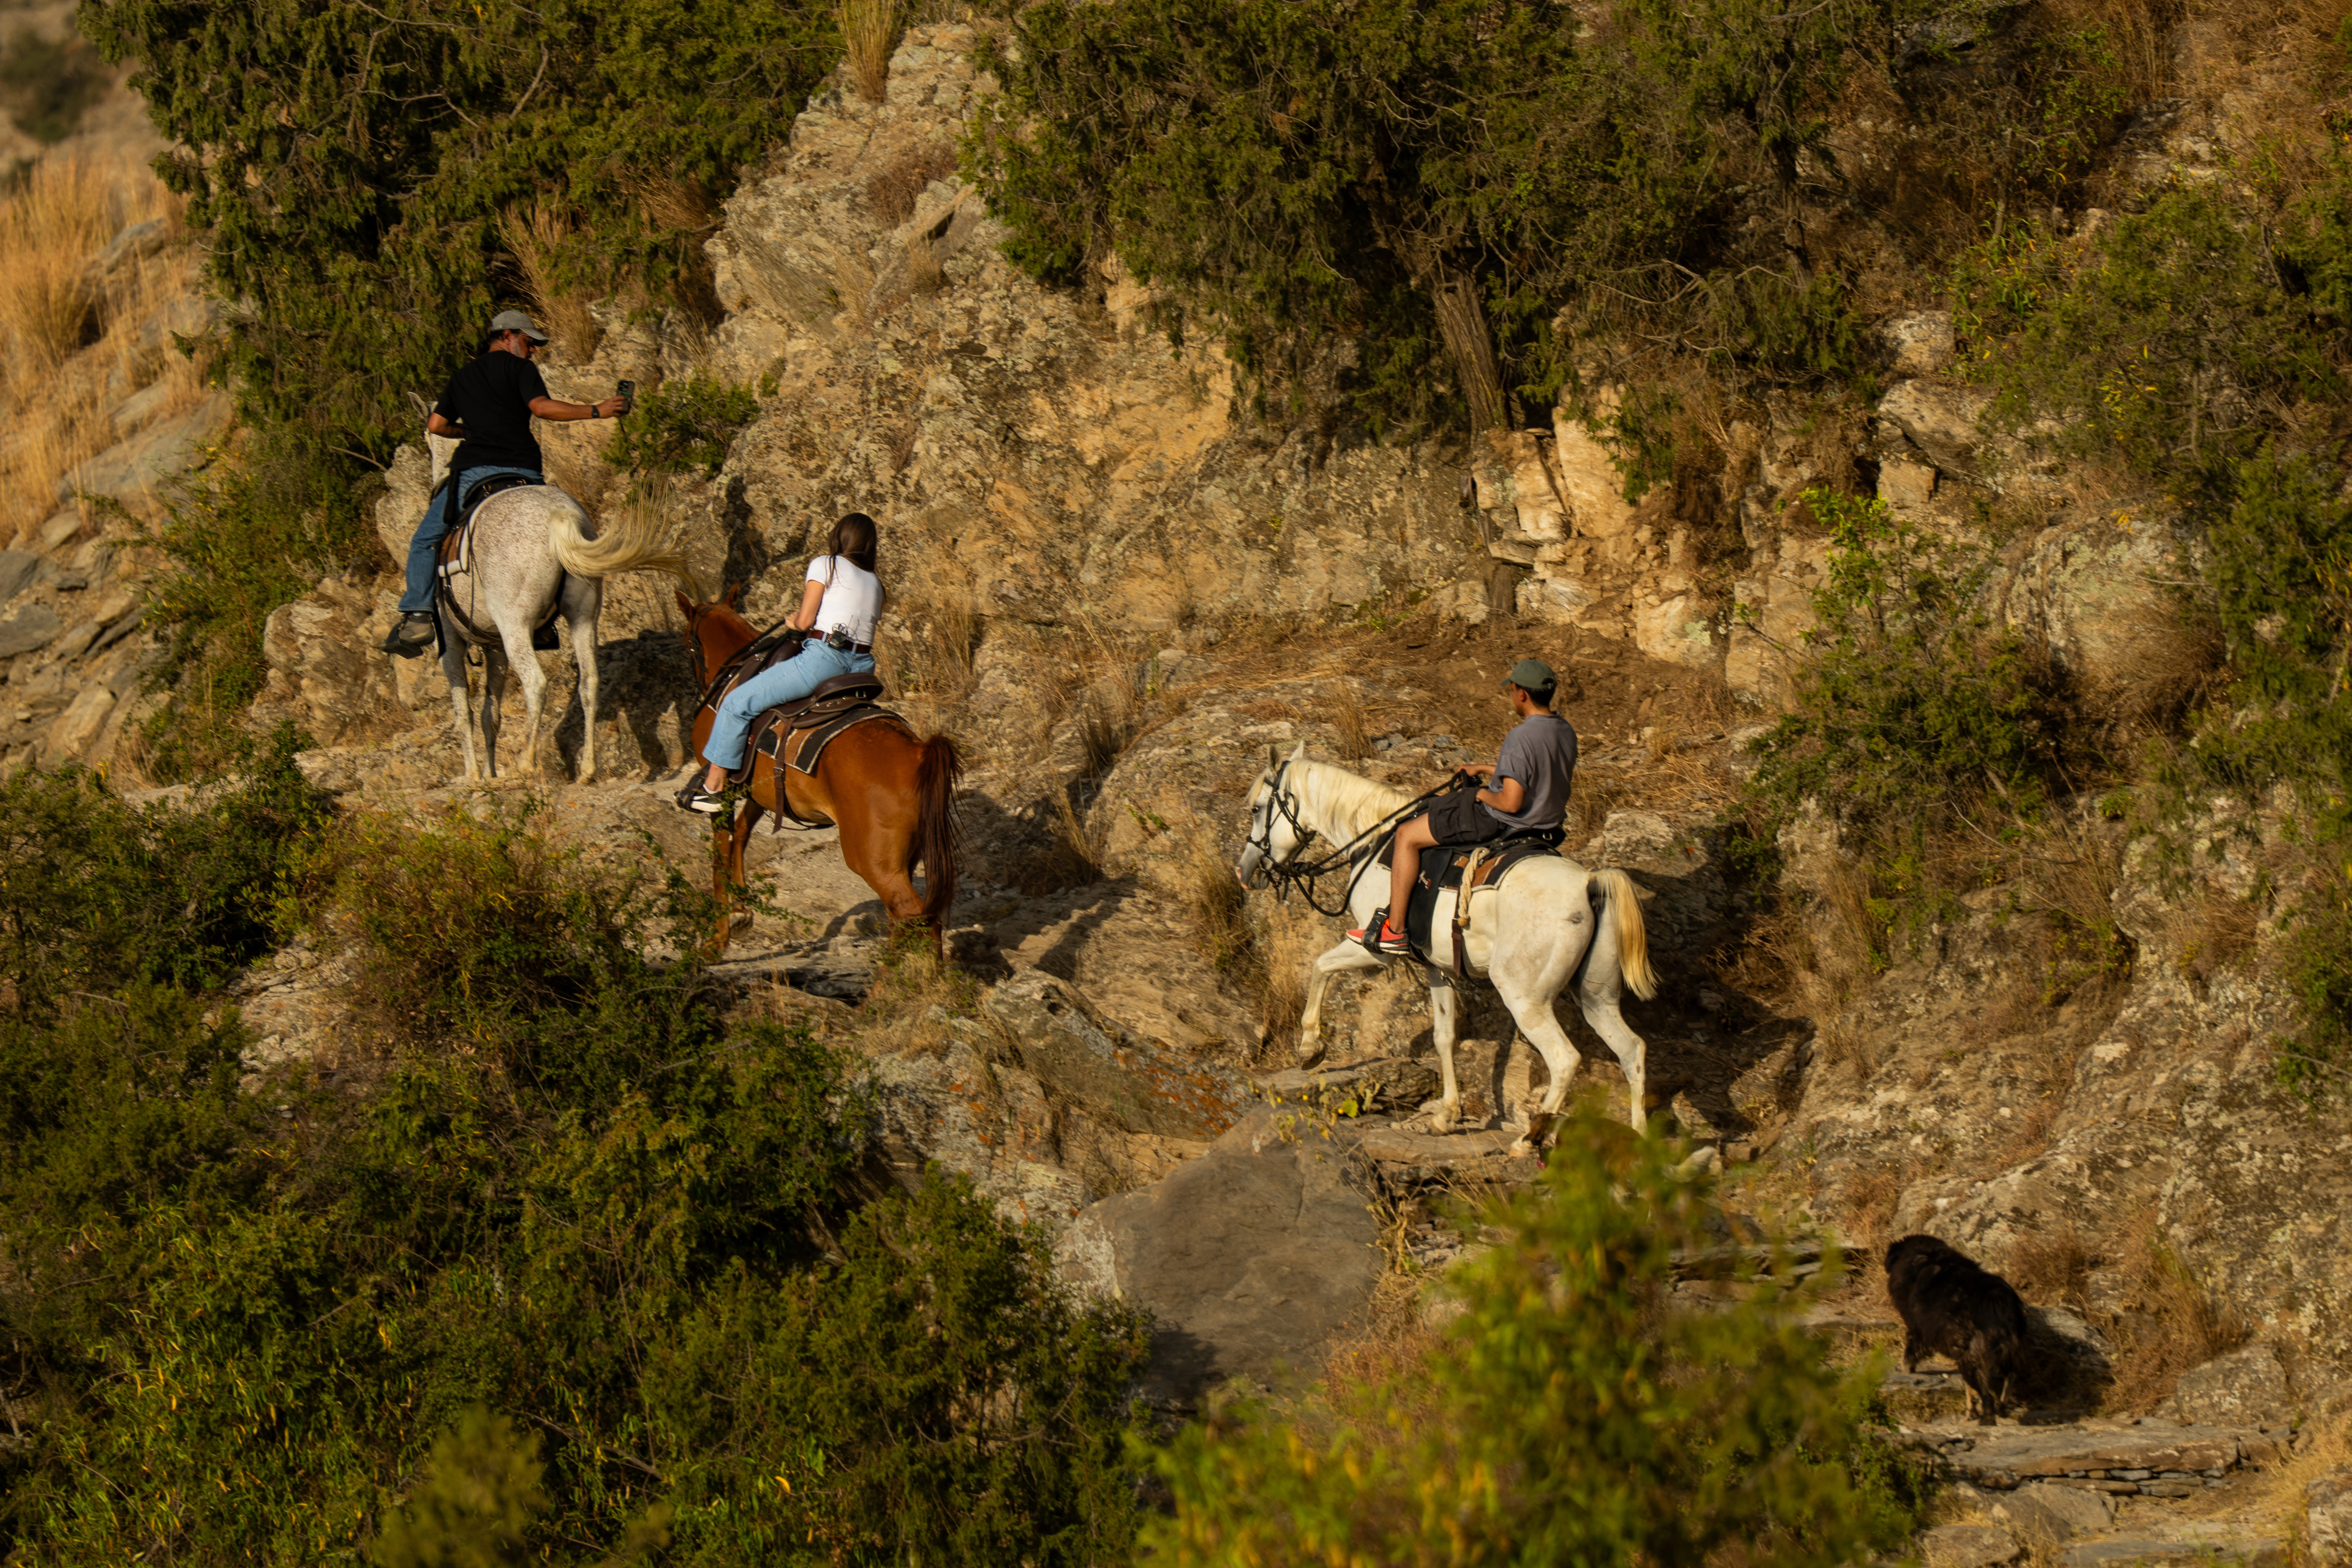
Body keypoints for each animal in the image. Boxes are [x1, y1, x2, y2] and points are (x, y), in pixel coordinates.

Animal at [422, 430, 690, 782]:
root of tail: (557, 516)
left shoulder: (451, 643)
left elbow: (463, 711)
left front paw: (474, 775)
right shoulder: (495, 648)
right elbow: (490, 714)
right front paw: (490, 772)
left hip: (515, 626)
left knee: (536, 685)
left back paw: (527, 762)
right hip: (583, 616)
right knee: (590, 683)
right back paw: (588, 768)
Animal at [675, 587, 963, 959]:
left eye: (686, 641)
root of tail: (918, 751)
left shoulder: (721, 790)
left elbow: (719, 853)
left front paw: (718, 937)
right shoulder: (760, 790)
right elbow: (741, 834)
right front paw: (740, 910)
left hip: (874, 861)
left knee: (912, 915)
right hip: (906, 857)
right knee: (913, 920)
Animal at [1235, 741, 1658, 1153]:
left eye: (1257, 809)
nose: (1245, 870)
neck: (1374, 842)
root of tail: (1588, 884)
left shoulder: (1371, 949)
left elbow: (1321, 966)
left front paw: (1310, 1047)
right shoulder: (1437, 967)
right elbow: (1444, 1036)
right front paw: (1446, 1116)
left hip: (1525, 998)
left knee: (1565, 1059)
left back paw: (1527, 1139)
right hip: (1596, 997)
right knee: (1632, 1051)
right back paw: (1640, 1143)